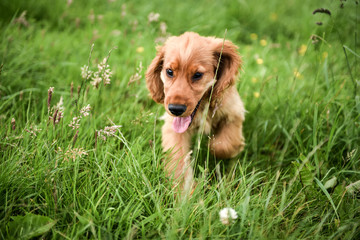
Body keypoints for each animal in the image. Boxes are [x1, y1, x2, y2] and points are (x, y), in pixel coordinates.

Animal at [146, 31, 245, 192]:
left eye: (197, 75)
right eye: (169, 72)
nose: (176, 109)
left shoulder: (234, 113)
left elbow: (223, 146)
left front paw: (216, 147)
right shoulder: (173, 128)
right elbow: (178, 159)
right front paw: (184, 192)